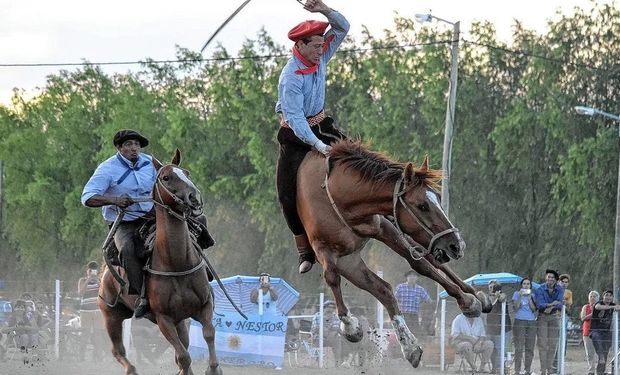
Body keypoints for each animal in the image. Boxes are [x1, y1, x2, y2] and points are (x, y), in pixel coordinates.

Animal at [98, 150, 222, 375]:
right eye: (165, 177)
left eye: (186, 173)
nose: (194, 197)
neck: (177, 262)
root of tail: (103, 274)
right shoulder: (164, 319)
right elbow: (183, 357)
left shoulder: (204, 306)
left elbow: (208, 334)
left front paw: (213, 369)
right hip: (111, 315)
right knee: (118, 350)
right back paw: (132, 370)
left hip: (179, 320)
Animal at [298, 140, 492, 368]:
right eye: (422, 205)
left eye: (438, 198)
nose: (457, 245)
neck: (338, 196)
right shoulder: (325, 250)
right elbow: (331, 278)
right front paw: (351, 327)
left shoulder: (385, 228)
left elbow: (421, 265)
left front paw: (468, 301)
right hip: (350, 262)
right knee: (384, 289)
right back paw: (410, 347)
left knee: (430, 263)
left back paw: (476, 296)